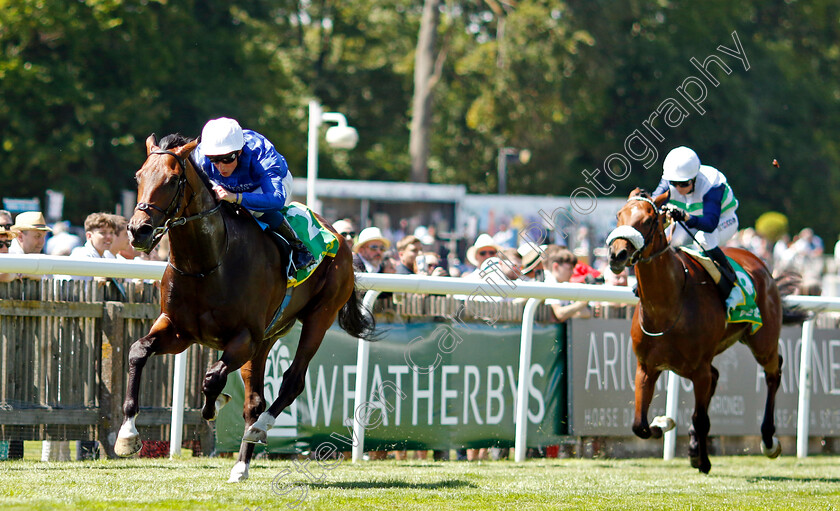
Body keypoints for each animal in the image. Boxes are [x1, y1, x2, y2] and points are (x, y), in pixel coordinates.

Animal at [115, 133, 374, 484]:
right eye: (138, 177)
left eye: (171, 179)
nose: (138, 230)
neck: (207, 264)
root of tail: (341, 239)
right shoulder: (179, 330)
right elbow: (138, 352)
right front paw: (127, 435)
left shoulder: (244, 337)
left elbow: (212, 377)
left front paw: (212, 407)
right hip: (268, 336)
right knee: (255, 401)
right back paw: (241, 464)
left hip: (319, 317)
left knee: (292, 381)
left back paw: (259, 428)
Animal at [608, 189, 804, 476]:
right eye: (619, 215)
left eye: (649, 219)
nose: (617, 255)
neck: (667, 305)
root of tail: (762, 265)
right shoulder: (647, 367)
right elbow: (640, 425)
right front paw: (664, 423)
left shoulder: (698, 369)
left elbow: (700, 418)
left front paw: (703, 461)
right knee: (718, 376)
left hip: (763, 340)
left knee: (773, 373)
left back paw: (769, 441)